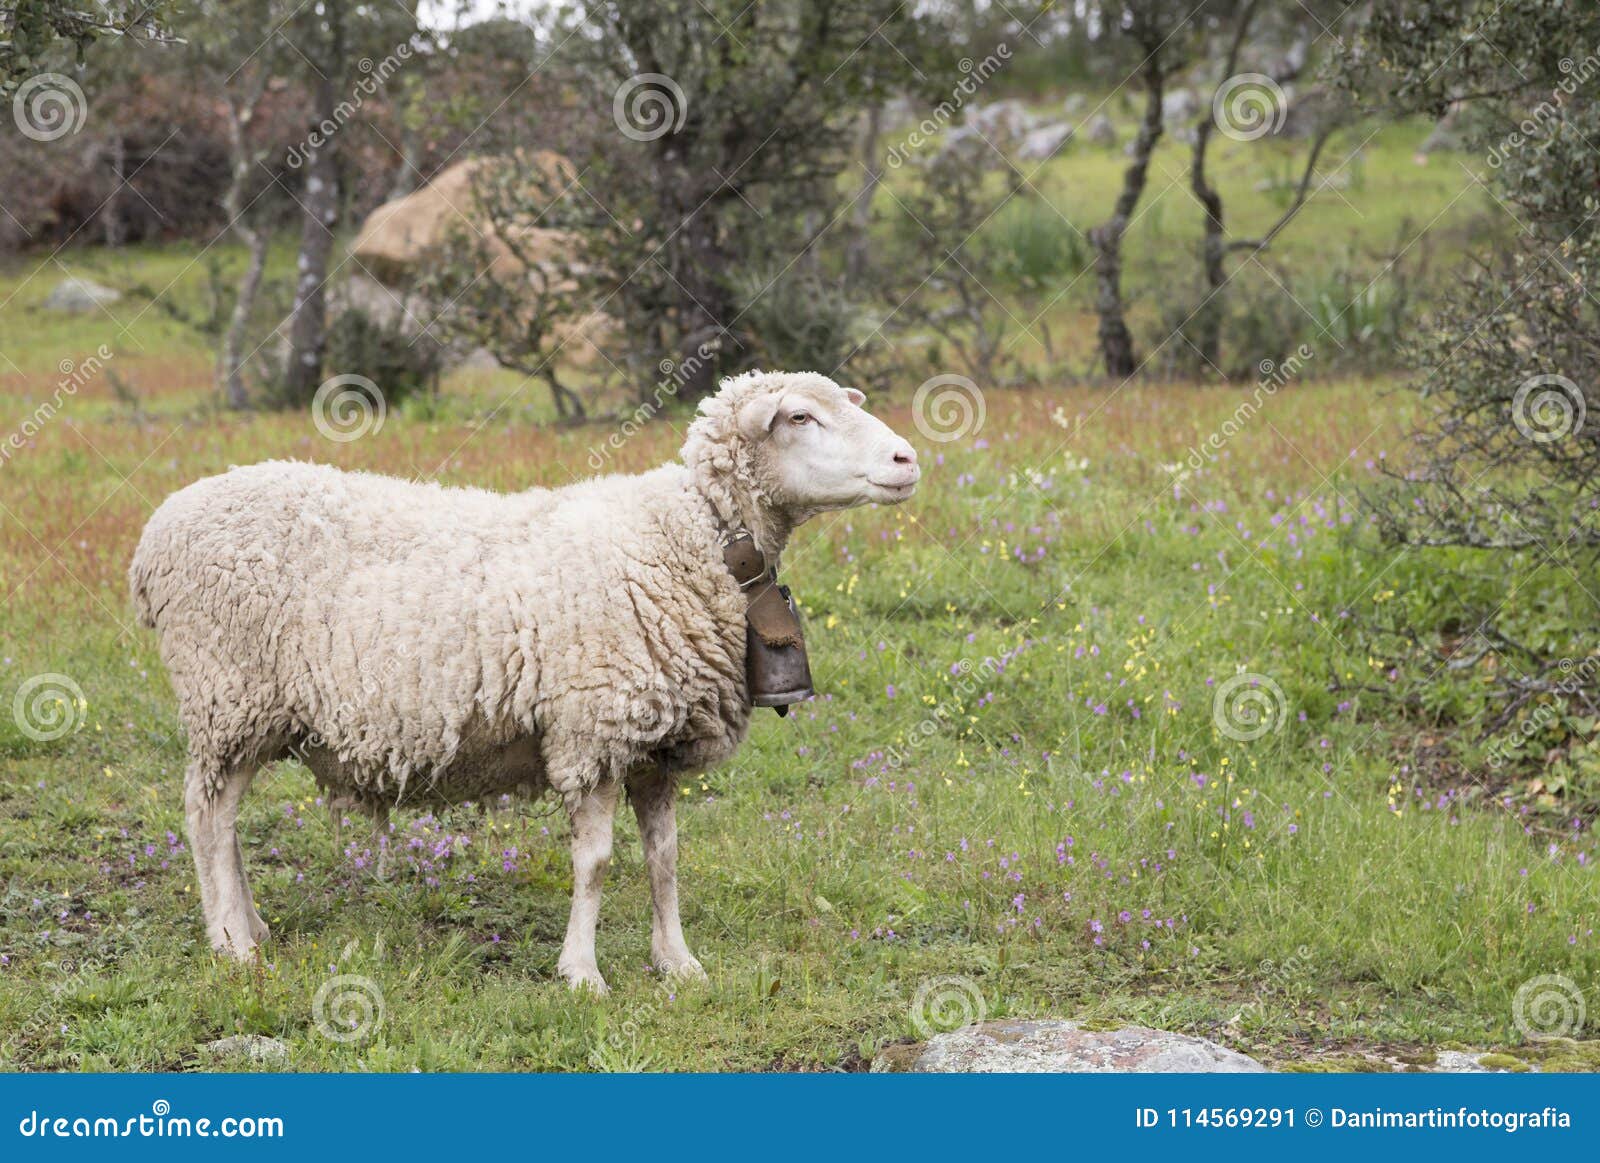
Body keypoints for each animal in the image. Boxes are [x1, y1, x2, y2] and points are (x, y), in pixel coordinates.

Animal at [129, 371, 921, 991]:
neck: (686, 538)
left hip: (248, 712)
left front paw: (678, 962)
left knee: (225, 821)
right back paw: (230, 943)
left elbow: (664, 858)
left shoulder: (656, 740)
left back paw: (250, 926)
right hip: (227, 694)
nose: (907, 457)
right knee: (206, 817)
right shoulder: (593, 729)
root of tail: (156, 535)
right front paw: (583, 973)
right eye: (800, 417)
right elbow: (596, 863)